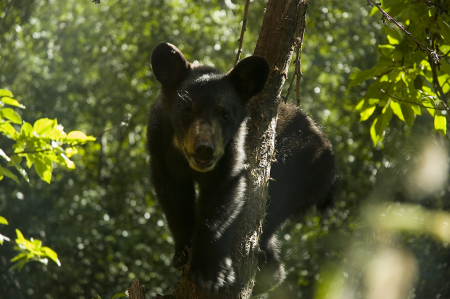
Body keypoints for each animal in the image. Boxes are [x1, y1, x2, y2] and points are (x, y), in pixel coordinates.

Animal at [148, 42, 334, 298]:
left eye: (225, 115)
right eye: (187, 110)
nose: (204, 150)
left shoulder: (232, 150)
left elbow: (224, 196)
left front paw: (212, 273)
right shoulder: (159, 148)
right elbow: (173, 197)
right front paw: (182, 252)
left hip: (301, 167)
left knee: (270, 209)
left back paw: (267, 266)